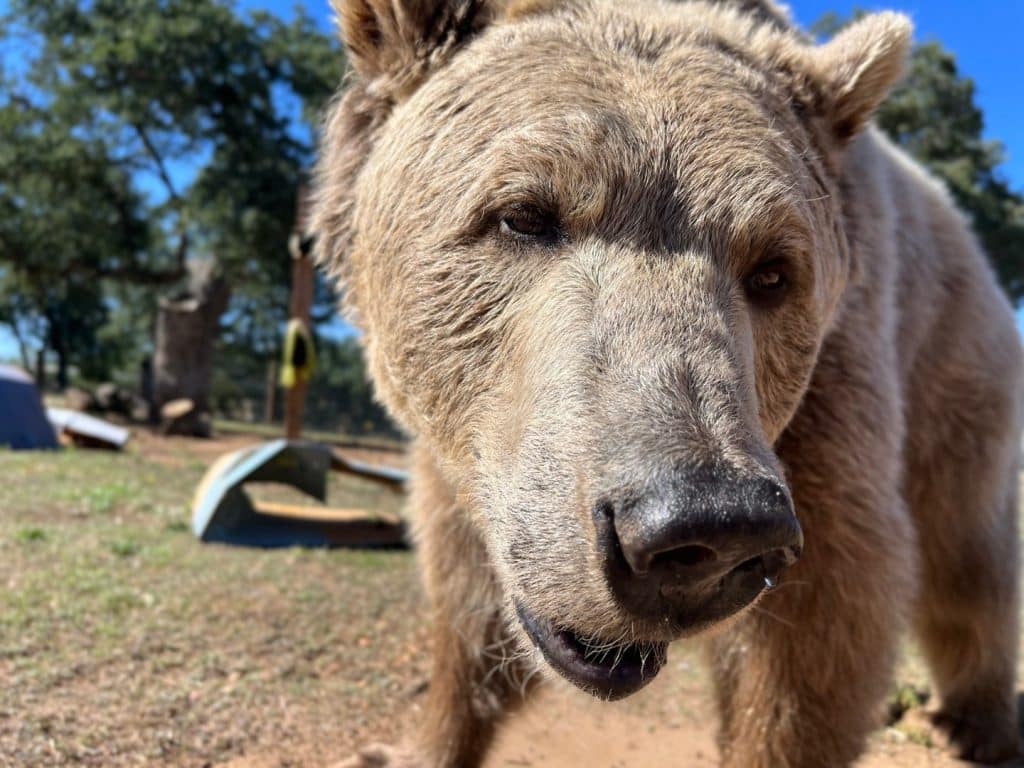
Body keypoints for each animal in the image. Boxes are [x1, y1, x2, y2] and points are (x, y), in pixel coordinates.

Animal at [312, 1, 1024, 765]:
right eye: (523, 215)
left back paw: (974, 720)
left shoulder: (828, 399)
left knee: (966, 562)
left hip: (953, 373)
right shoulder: (484, 454)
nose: (707, 528)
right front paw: (413, 743)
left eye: (773, 270)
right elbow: (469, 588)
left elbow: (818, 624)